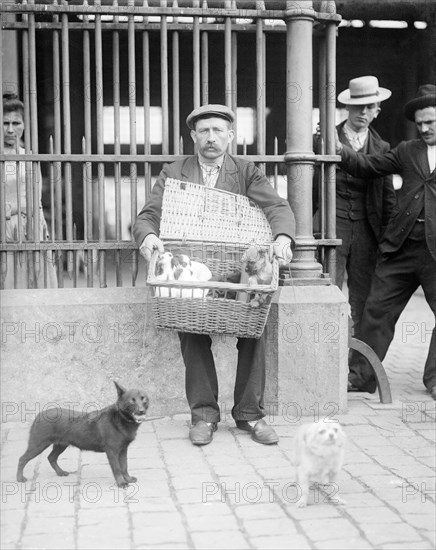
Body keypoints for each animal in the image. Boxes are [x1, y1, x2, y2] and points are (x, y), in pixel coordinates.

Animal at [16, 382, 149, 490]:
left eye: (143, 399)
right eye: (132, 400)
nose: (141, 411)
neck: (120, 418)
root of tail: (39, 415)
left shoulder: (123, 450)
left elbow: (124, 466)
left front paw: (128, 479)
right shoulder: (112, 452)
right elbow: (117, 469)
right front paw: (121, 483)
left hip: (60, 445)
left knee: (51, 458)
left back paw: (60, 472)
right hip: (38, 445)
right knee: (22, 459)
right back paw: (20, 478)